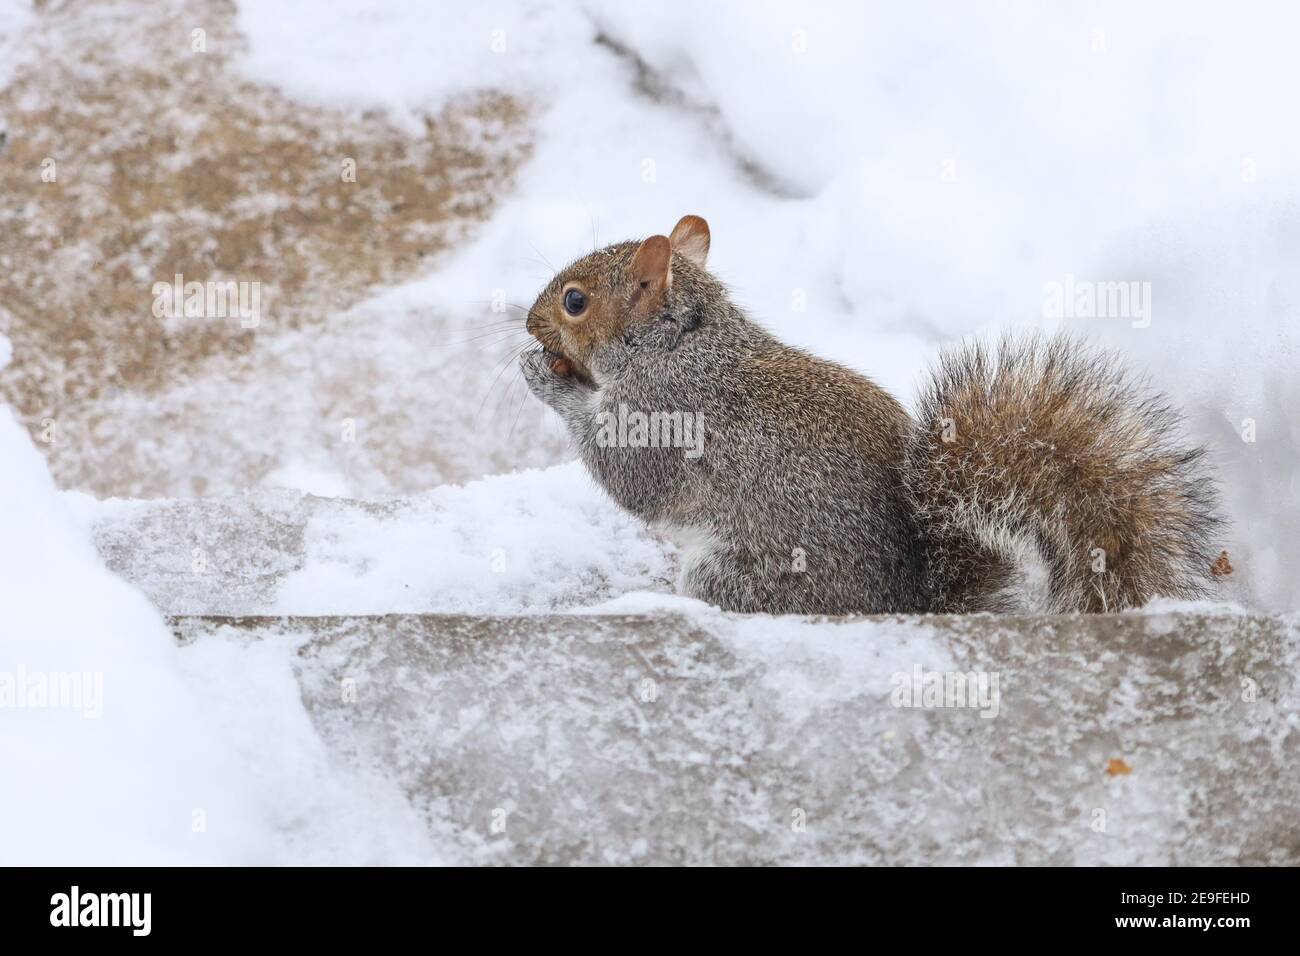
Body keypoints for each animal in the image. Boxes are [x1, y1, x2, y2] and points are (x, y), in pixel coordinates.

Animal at [520, 214, 1227, 613]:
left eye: (575, 302)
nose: (528, 322)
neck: (682, 342)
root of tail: (914, 604)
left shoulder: (666, 413)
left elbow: (630, 477)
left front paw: (544, 380)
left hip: (739, 573)